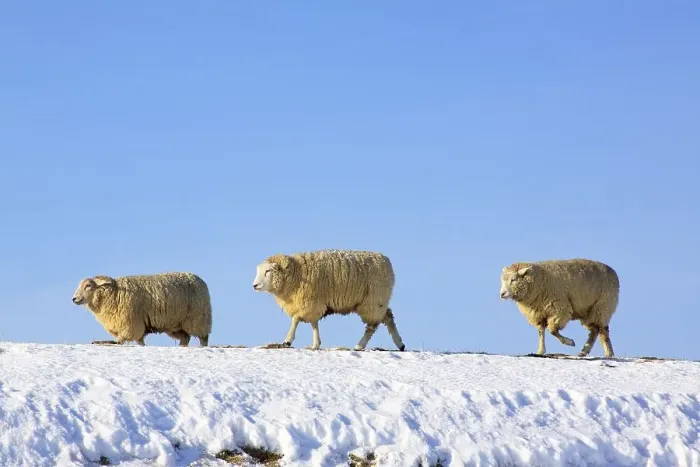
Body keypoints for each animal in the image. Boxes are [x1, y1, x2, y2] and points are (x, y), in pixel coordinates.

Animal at [71, 272, 212, 347]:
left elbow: (122, 339)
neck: (114, 293)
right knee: (185, 338)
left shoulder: (131, 323)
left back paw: (202, 347)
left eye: (88, 286)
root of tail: (200, 280)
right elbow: (139, 341)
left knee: (203, 337)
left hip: (198, 319)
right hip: (175, 324)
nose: (74, 299)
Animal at [252, 249, 406, 351]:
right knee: (388, 316)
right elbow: (314, 323)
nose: (254, 285)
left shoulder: (309, 302)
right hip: (377, 302)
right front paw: (316, 344)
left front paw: (287, 341)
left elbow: (296, 320)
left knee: (372, 326)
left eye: (268, 271)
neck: (297, 272)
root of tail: (386, 261)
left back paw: (359, 345)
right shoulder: (313, 304)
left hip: (372, 301)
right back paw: (400, 343)